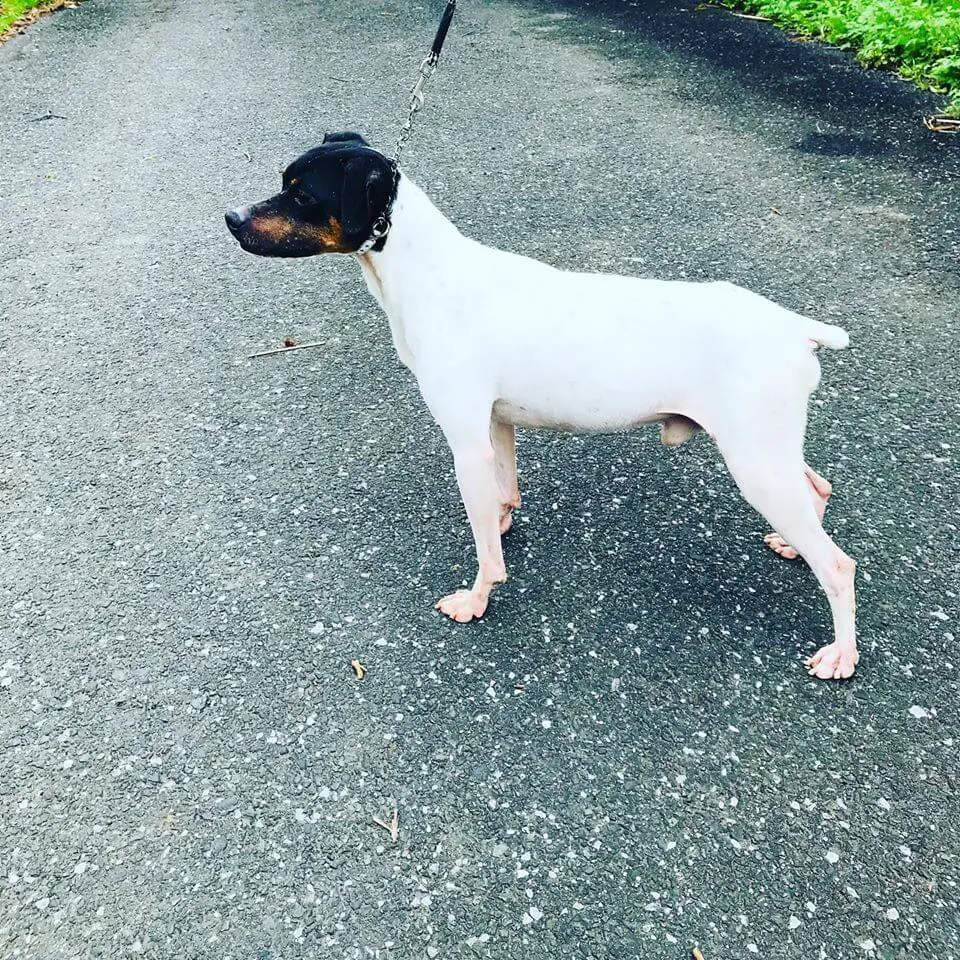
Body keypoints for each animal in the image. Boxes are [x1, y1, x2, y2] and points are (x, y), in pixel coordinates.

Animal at [227, 131, 864, 680]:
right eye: (285, 182)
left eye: (302, 195)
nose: (230, 219)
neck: (424, 270)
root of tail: (795, 331)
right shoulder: (494, 427)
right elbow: (500, 499)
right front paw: (501, 522)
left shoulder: (466, 443)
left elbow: (484, 549)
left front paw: (477, 598)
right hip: (768, 450)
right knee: (817, 489)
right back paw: (792, 544)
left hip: (755, 464)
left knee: (838, 566)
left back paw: (841, 654)